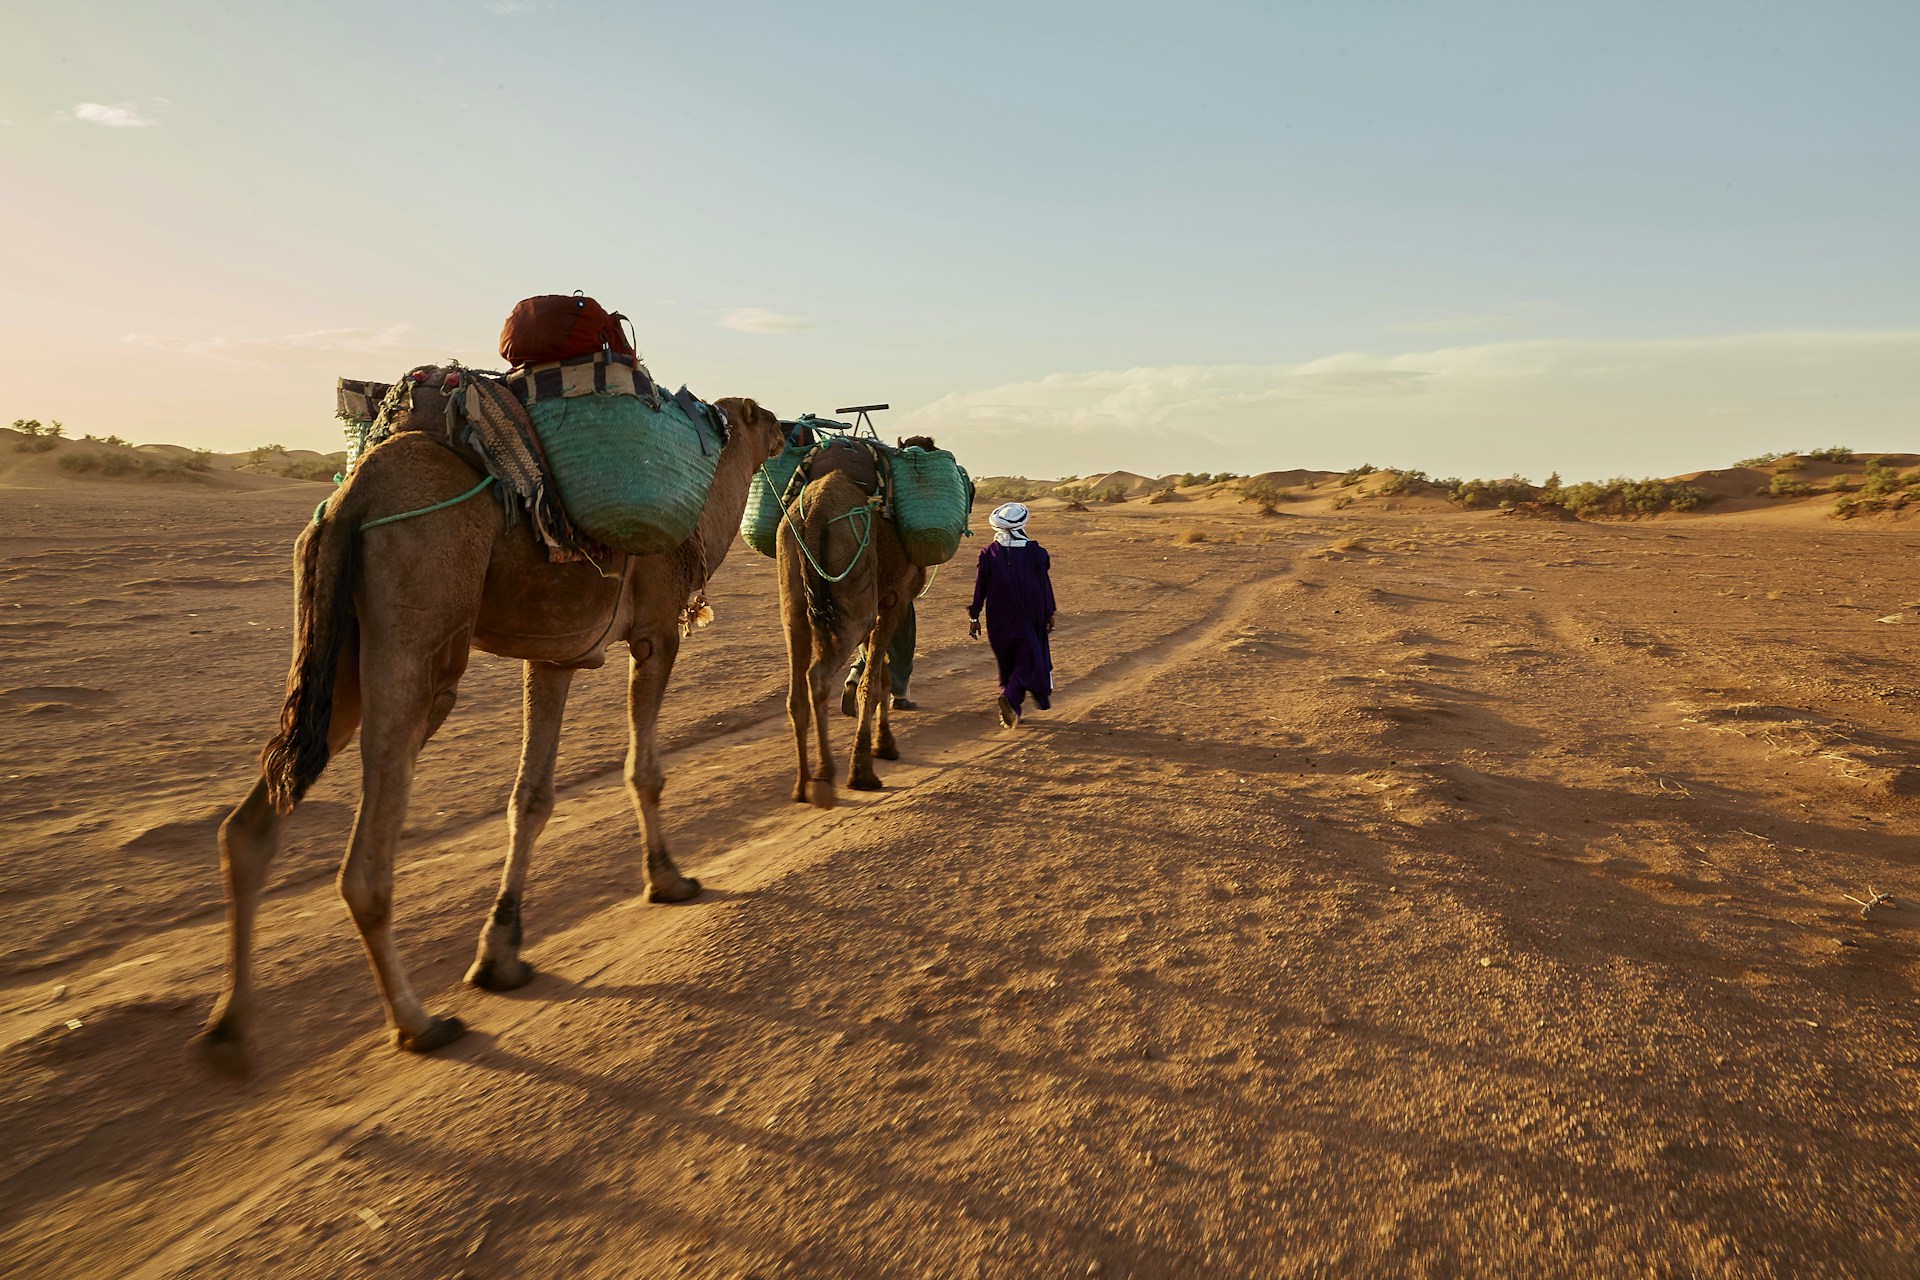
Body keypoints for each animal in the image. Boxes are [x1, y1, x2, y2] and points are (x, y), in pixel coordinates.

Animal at [195, 367, 784, 1066]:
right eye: (762, 415)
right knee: (365, 865)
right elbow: (644, 771)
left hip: (337, 656)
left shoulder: (556, 654)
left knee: (248, 826)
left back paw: (230, 1027)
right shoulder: (658, 634)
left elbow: (531, 798)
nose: (790, 431)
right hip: (420, 623)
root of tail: (349, 501)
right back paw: (418, 1023)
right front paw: (667, 879)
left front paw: (500, 953)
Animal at [778, 468, 926, 808]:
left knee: (796, 693)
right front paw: (865, 768)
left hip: (792, 594)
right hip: (853, 587)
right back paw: (824, 778)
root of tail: (815, 513)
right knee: (817, 675)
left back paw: (801, 785)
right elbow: (873, 684)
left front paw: (884, 744)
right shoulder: (895, 599)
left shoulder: (880, 602)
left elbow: (880, 676)